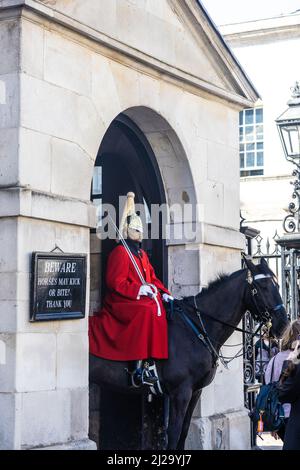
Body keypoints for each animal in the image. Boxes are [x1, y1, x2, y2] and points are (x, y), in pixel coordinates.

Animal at [89, 258, 288, 450]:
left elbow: (184, 431)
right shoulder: (180, 392)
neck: (197, 328)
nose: (283, 325)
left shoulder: (195, 391)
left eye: (277, 285)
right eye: (262, 287)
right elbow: (174, 433)